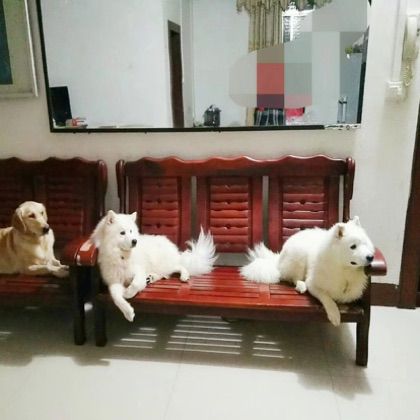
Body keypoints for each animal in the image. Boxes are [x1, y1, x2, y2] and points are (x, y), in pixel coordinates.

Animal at [240, 217, 375, 326]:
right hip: (299, 257)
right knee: (293, 279)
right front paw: (334, 314)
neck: (343, 269)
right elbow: (327, 298)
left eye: (365, 244)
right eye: (353, 246)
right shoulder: (313, 285)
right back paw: (301, 286)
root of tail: (278, 259)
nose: (371, 257)